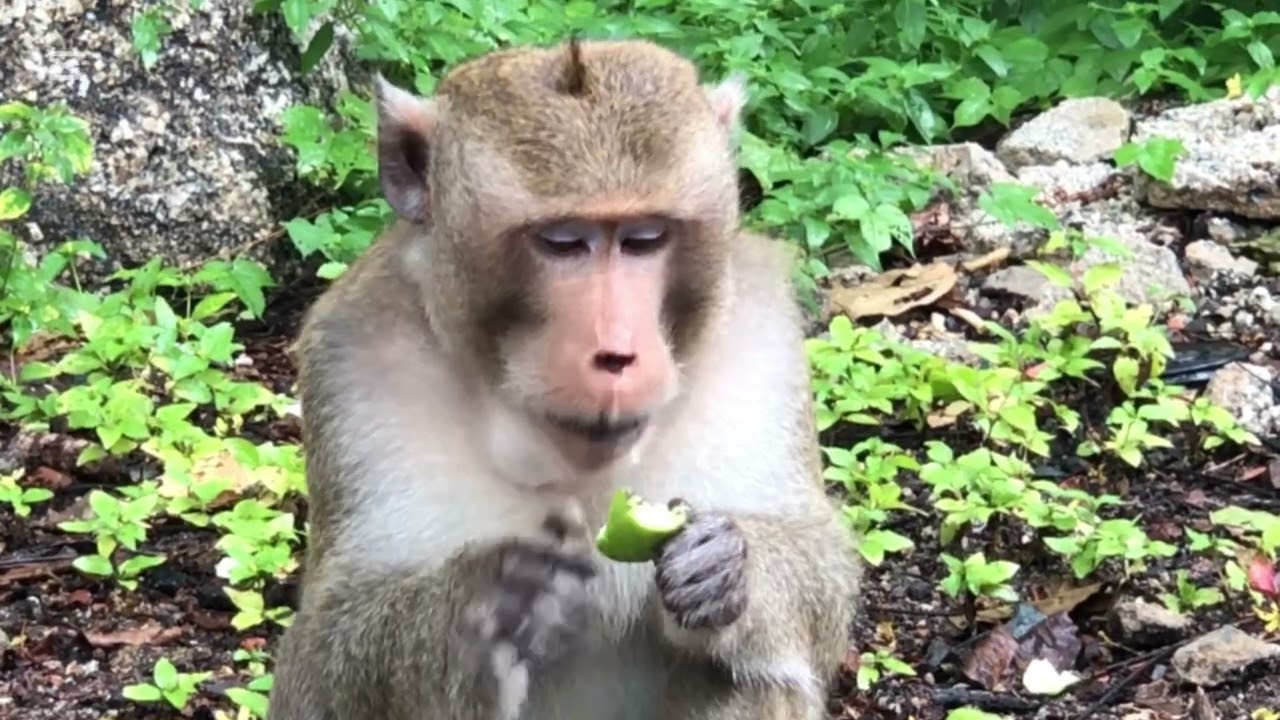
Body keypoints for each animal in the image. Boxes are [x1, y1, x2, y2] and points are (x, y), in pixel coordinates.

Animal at [266, 37, 862, 720]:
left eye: (644, 238)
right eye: (561, 242)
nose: (616, 354)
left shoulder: (761, 333)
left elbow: (821, 572)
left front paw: (723, 567)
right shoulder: (353, 358)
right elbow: (315, 663)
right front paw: (483, 605)